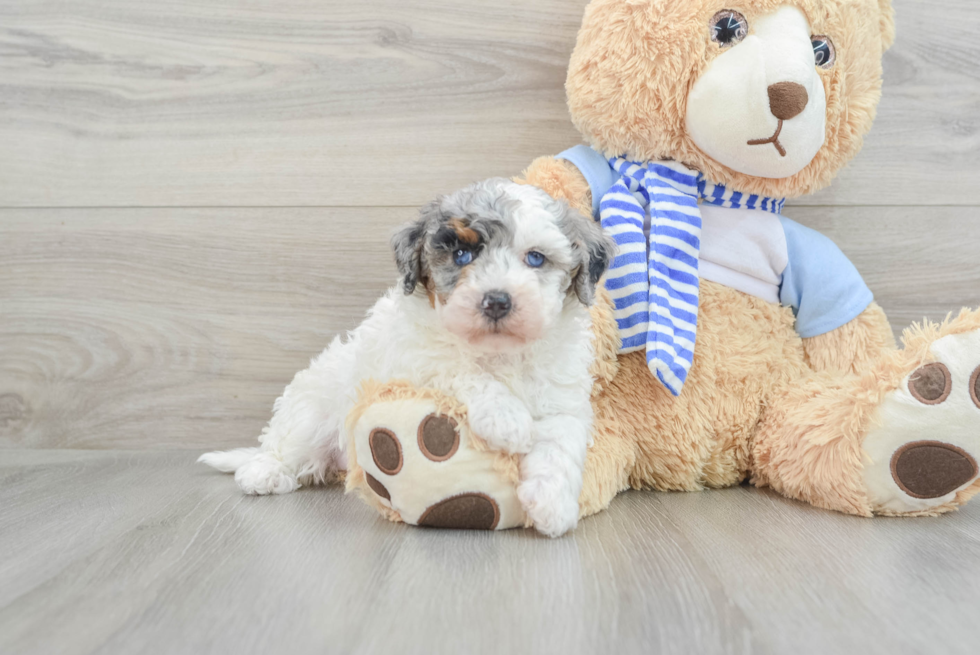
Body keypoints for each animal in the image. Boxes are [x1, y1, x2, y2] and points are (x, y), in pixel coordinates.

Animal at [198, 179, 612, 540]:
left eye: (536, 258)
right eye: (462, 255)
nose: (497, 300)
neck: (498, 352)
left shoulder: (562, 397)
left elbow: (560, 442)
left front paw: (552, 503)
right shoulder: (415, 358)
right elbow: (460, 368)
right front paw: (506, 418)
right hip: (311, 411)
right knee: (284, 445)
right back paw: (263, 473)